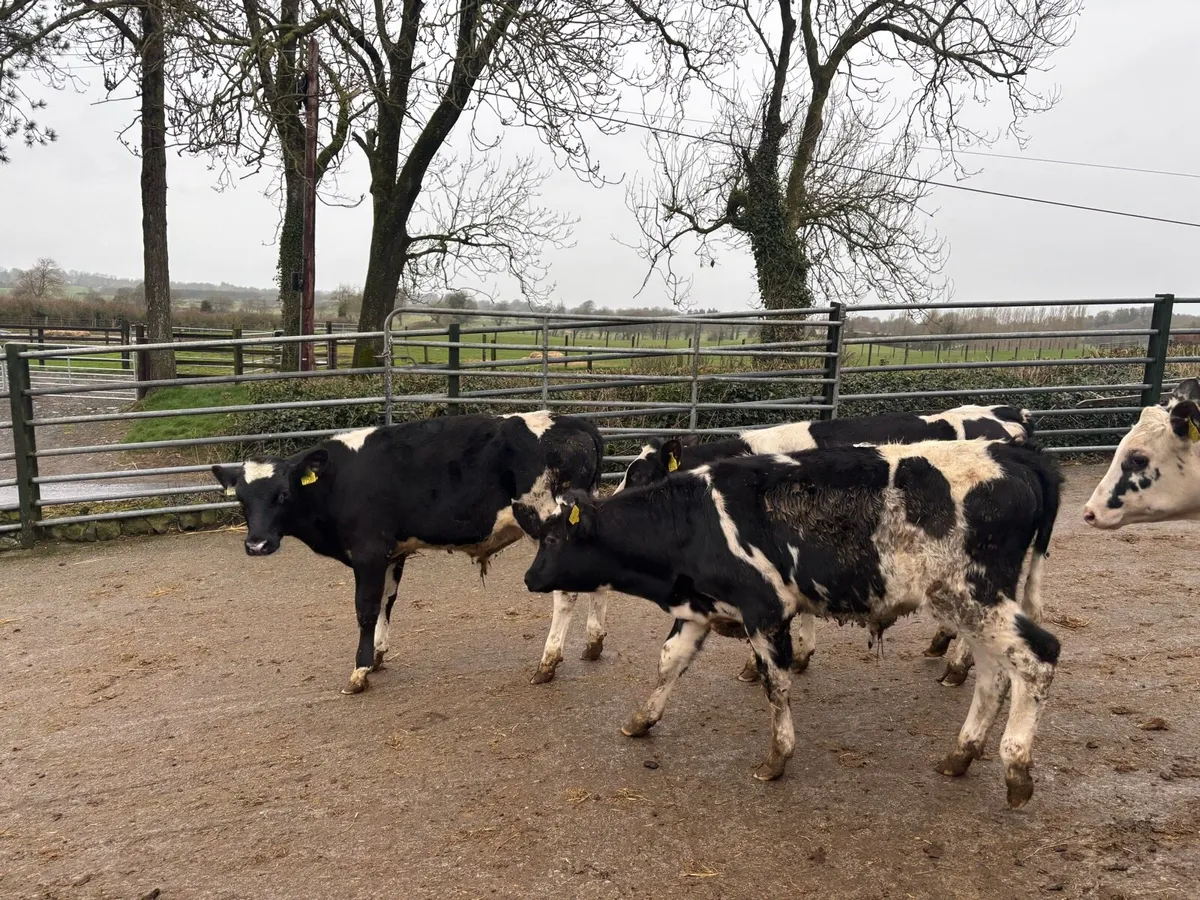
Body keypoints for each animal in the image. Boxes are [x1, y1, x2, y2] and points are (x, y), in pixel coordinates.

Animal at [211, 411, 605, 694]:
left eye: (283, 495)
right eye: (242, 500)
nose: (257, 544)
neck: (339, 479)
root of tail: (573, 422)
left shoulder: (368, 553)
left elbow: (366, 610)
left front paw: (359, 670)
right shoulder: (392, 553)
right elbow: (388, 601)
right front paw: (377, 655)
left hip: (544, 523)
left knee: (565, 593)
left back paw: (547, 663)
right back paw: (594, 642)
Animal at [519, 439, 1063, 808]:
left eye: (553, 540)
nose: (528, 577)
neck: (694, 520)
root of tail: (1020, 456)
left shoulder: (767, 611)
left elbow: (775, 685)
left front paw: (778, 757)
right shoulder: (702, 607)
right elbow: (669, 662)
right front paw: (641, 720)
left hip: (974, 596)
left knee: (1038, 657)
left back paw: (1016, 766)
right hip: (970, 605)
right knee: (994, 676)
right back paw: (962, 754)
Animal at [614, 404, 1035, 685]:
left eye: (641, 476)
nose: (613, 506)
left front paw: (762, 663)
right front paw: (798, 656)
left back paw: (957, 668)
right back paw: (941, 644)